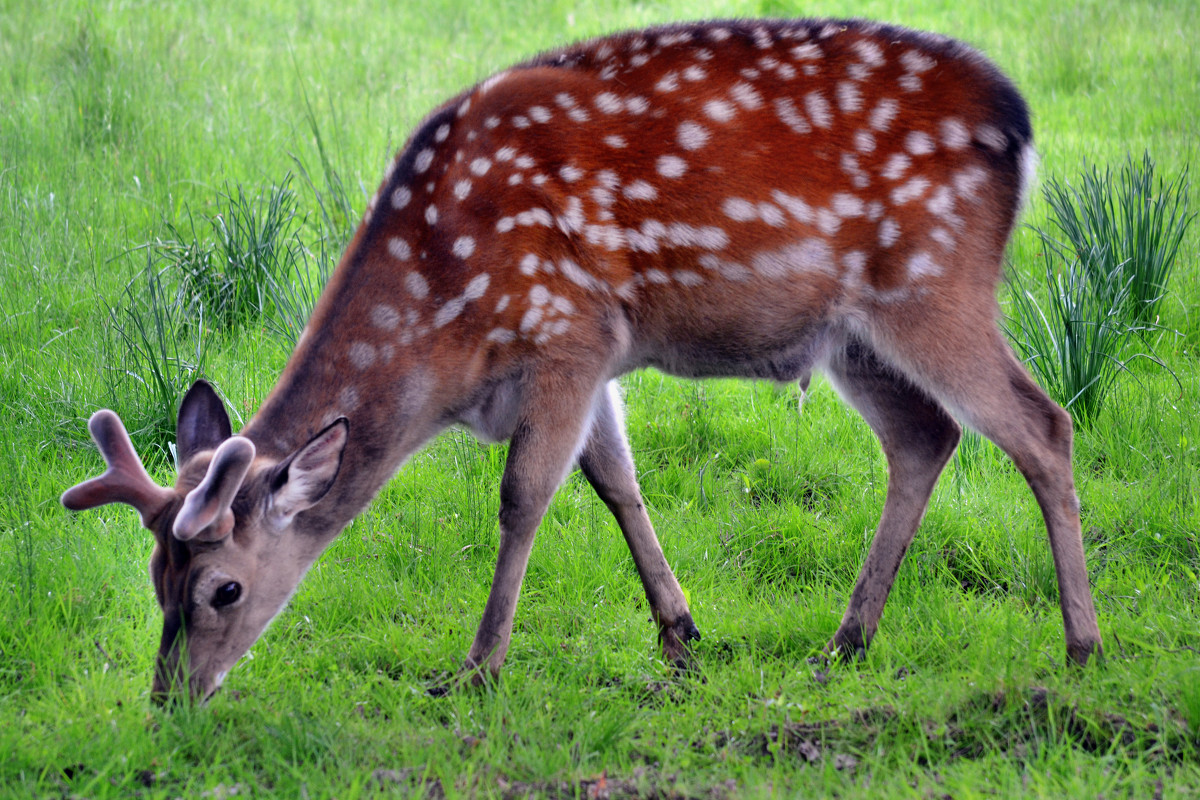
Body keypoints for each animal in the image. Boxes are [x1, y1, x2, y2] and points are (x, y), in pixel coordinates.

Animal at [60, 17, 1099, 700]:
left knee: (1042, 423)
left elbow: (524, 495)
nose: (168, 700)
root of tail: (1019, 123)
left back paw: (1083, 645)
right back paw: (847, 642)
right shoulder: (596, 356)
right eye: (155, 580)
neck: (446, 322)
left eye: (223, 587)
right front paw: (682, 637)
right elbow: (615, 484)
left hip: (931, 281)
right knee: (925, 436)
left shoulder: (568, 330)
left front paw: (476, 669)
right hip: (851, 333)